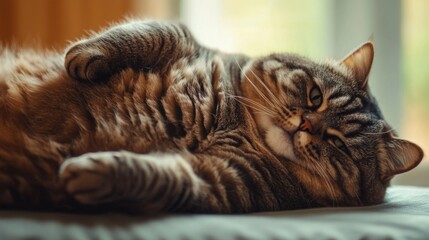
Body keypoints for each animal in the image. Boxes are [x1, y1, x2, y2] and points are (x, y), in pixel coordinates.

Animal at [0, 19, 422, 213]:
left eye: (339, 145)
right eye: (315, 97)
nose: (307, 125)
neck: (237, 125)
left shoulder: (221, 180)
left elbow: (166, 178)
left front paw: (98, 171)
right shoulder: (195, 45)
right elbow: (157, 31)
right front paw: (86, 53)